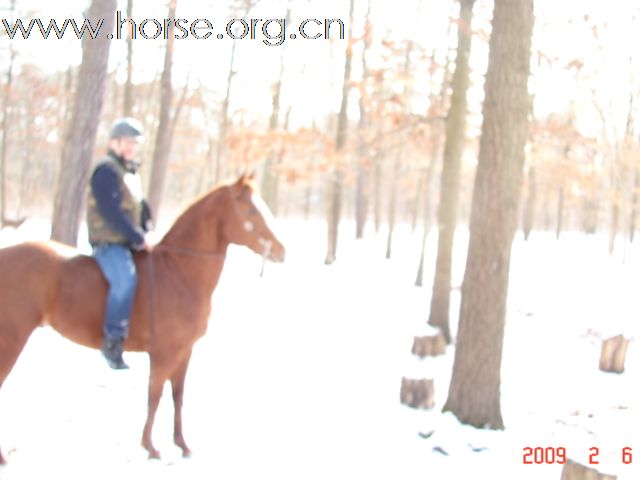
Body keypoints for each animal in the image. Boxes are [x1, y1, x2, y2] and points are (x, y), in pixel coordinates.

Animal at [0, 174, 284, 464]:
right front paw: (150, 446)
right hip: (10, 341)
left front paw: (182, 445)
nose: (281, 250)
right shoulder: (164, 354)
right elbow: (154, 396)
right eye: (252, 210)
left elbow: (177, 396)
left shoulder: (184, 352)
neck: (178, 271)